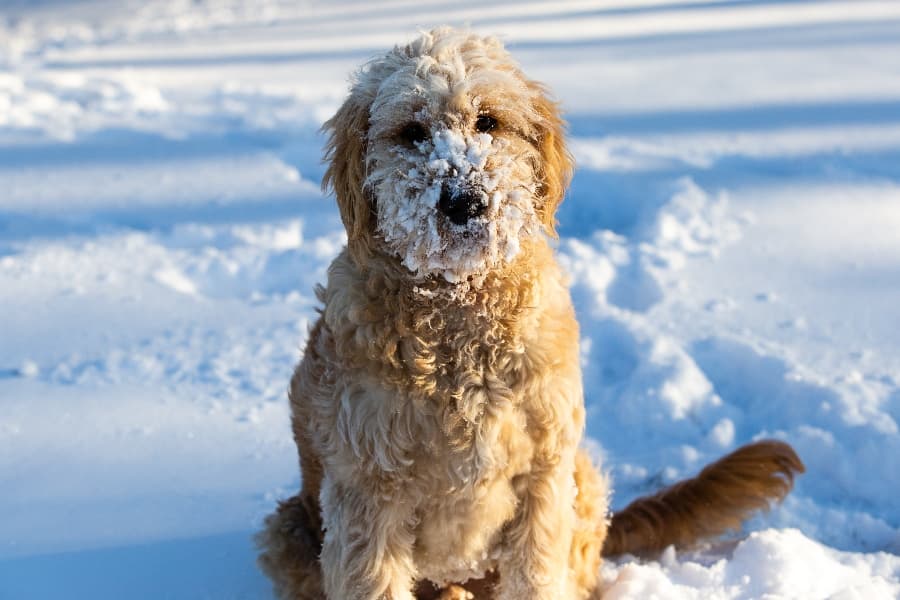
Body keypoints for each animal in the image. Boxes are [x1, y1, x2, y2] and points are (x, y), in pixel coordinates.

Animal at [256, 25, 804, 596]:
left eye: (488, 121)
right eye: (412, 131)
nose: (464, 200)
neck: (458, 313)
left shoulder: (543, 476)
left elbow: (537, 573)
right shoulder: (367, 487)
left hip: (582, 481)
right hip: (287, 530)